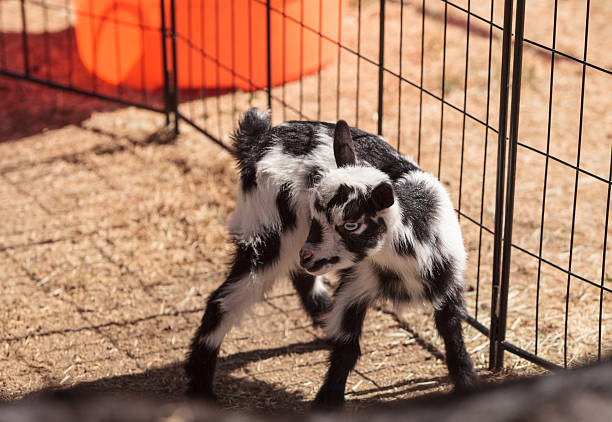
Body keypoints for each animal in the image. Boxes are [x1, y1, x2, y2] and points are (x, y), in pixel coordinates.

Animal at [184, 107, 480, 408]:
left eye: (351, 224)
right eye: (316, 214)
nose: (308, 255)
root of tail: (258, 142)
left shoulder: (448, 282)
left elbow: (453, 336)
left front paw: (467, 384)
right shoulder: (356, 283)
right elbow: (347, 346)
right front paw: (328, 401)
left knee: (297, 275)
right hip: (268, 233)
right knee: (223, 300)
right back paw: (200, 386)